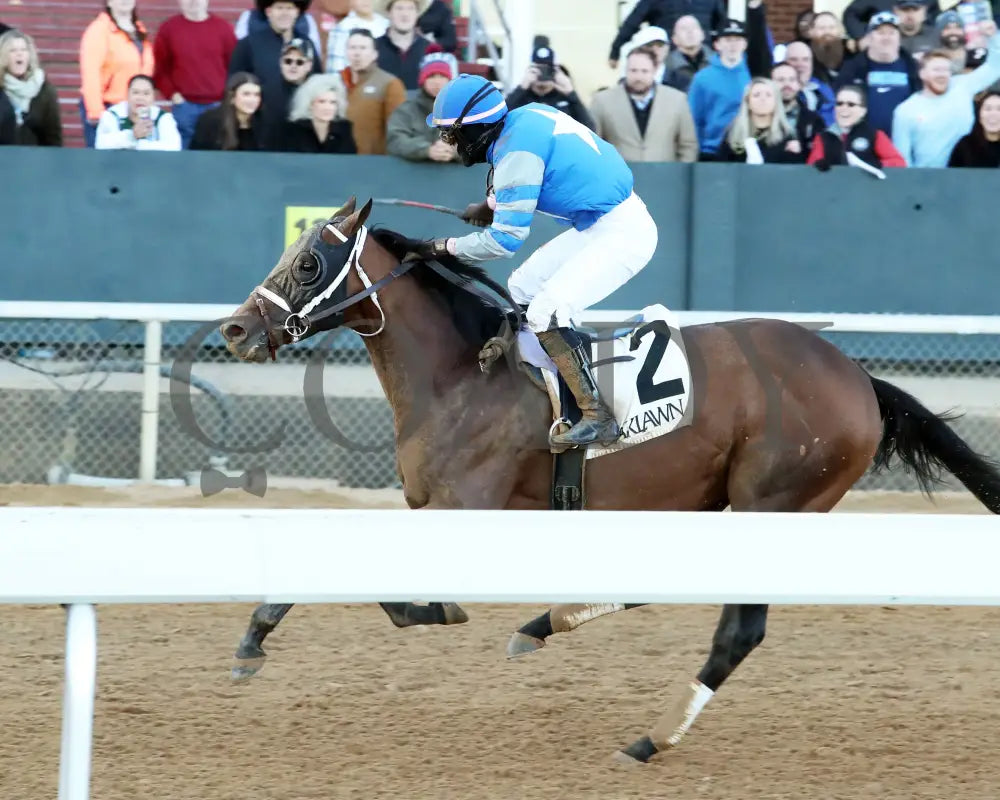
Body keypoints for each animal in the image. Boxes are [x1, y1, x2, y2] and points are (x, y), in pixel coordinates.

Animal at [219, 197, 1000, 764]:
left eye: (309, 262)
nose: (234, 329)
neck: (461, 371)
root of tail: (859, 378)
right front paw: (256, 634)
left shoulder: (466, 508)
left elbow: (407, 597)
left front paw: (425, 612)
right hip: (706, 502)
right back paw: (547, 625)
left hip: (774, 501)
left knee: (740, 630)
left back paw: (652, 738)